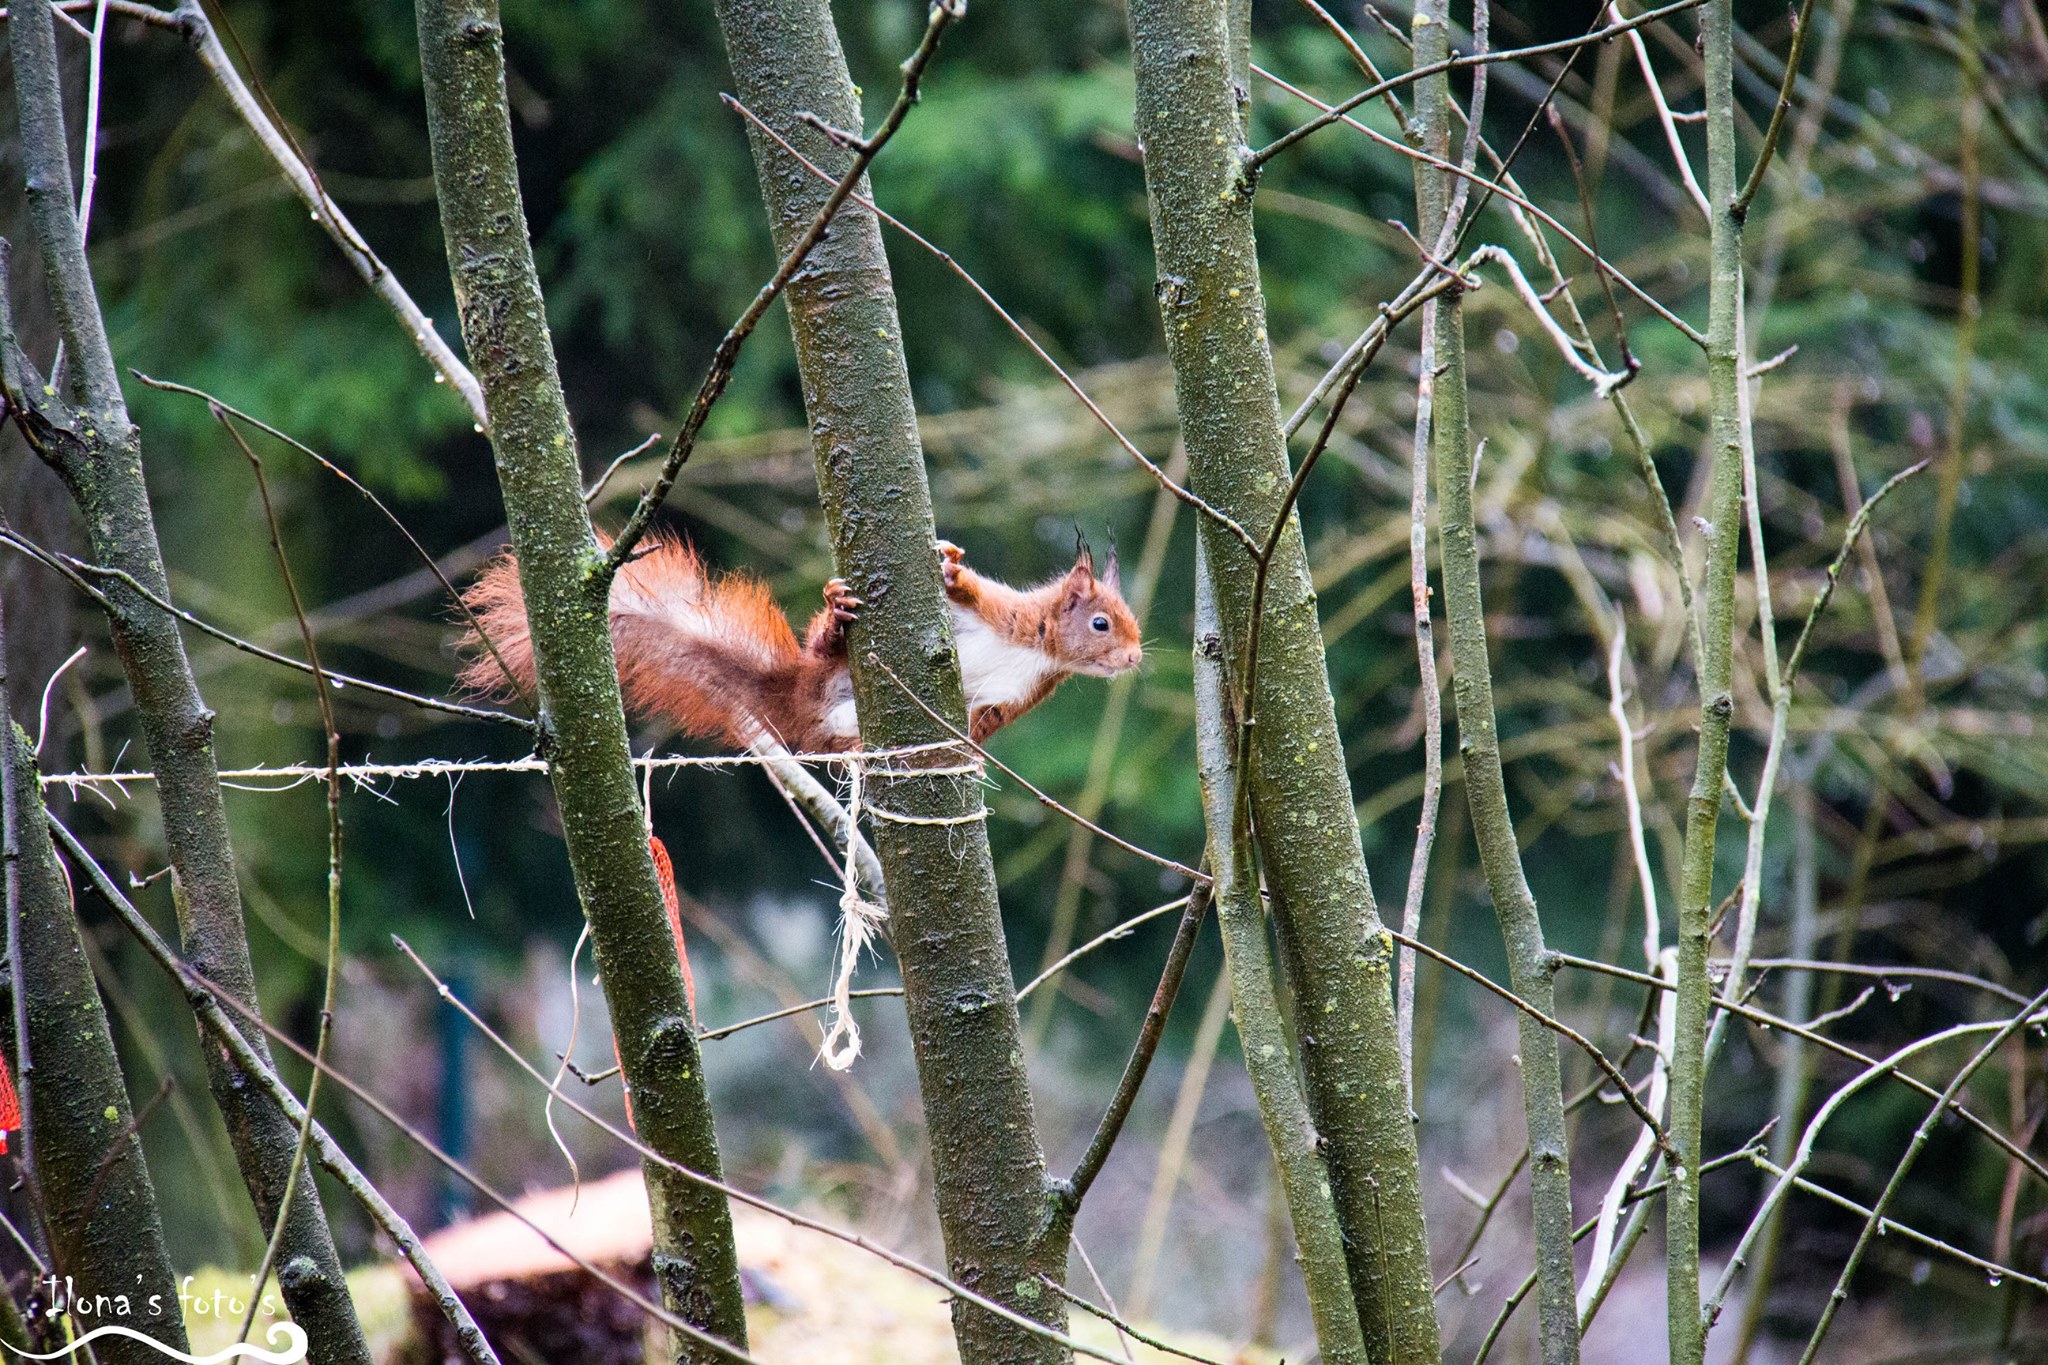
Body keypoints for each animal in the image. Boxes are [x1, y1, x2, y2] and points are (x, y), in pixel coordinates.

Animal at [457, 535, 1144, 752]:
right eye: (1102, 624)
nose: (1137, 658)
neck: (1037, 649)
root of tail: (798, 699)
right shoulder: (1005, 615)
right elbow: (970, 592)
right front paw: (950, 566)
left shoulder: (1021, 693)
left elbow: (990, 720)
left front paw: (970, 747)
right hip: (827, 669)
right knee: (824, 651)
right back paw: (839, 616)